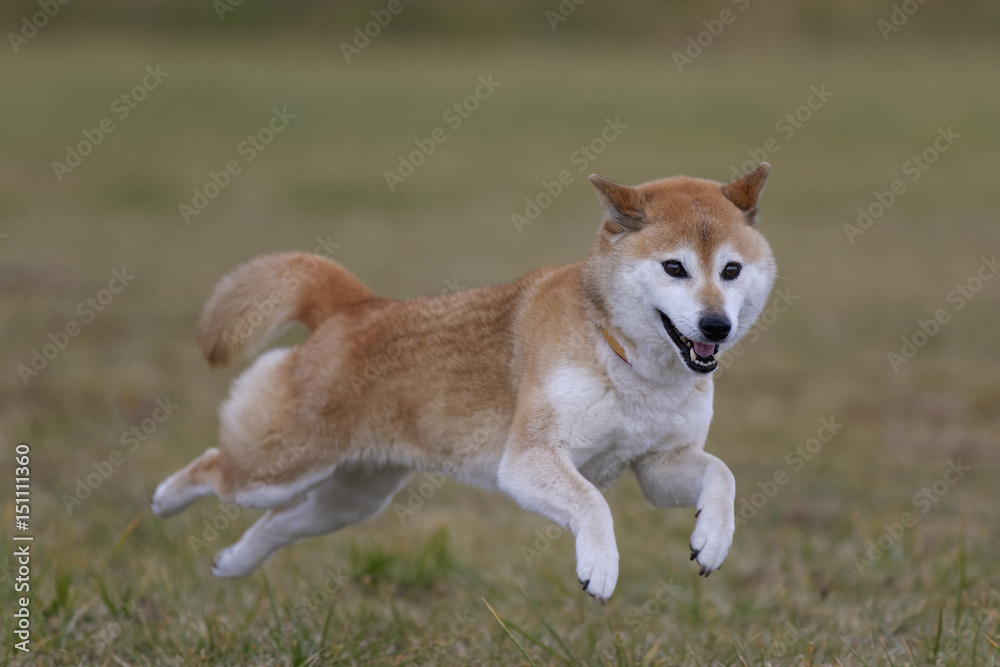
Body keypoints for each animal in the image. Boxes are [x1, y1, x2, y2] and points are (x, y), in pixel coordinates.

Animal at [150, 164, 772, 604]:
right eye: (674, 268)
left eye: (731, 270)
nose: (716, 326)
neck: (624, 359)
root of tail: (355, 305)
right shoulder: (527, 460)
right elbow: (592, 502)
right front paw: (599, 566)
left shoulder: (658, 466)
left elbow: (722, 474)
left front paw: (713, 539)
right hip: (281, 467)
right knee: (214, 468)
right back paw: (163, 500)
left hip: (353, 497)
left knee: (280, 524)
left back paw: (232, 562)